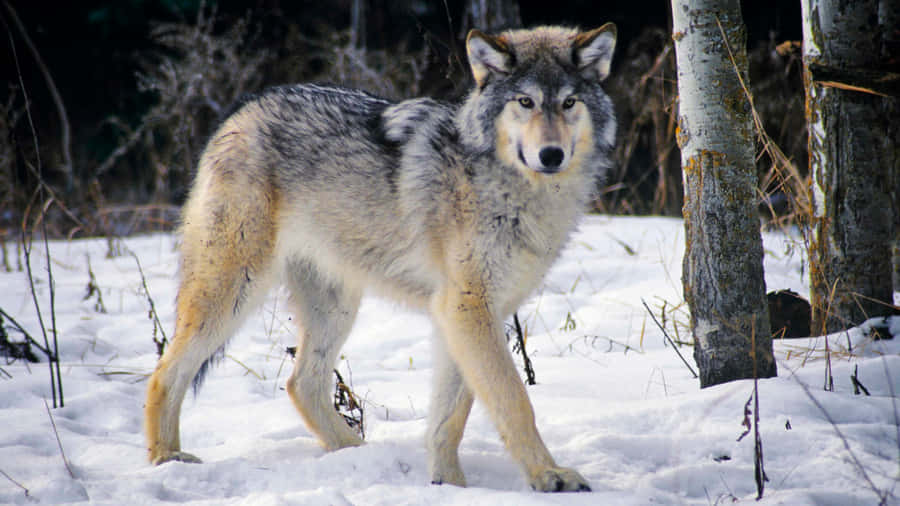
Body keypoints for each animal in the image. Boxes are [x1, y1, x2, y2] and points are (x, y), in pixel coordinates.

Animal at [145, 24, 617, 492]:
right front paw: (550, 476)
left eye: (569, 103)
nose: (551, 155)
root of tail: (242, 110)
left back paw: (356, 453)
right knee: (165, 371)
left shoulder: (468, 314)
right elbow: (514, 400)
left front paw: (449, 485)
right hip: (234, 291)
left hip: (335, 307)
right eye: (526, 102)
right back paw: (166, 459)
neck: (517, 191)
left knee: (301, 383)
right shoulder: (468, 307)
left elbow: (450, 417)